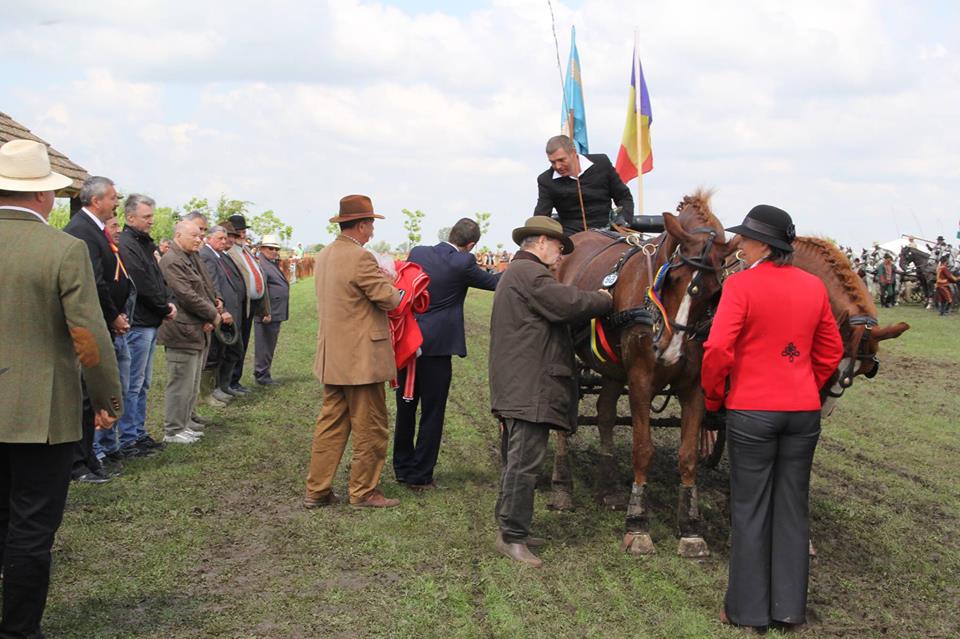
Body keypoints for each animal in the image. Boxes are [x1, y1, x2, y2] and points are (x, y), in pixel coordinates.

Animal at [548, 189, 736, 556]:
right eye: (673, 277)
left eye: (713, 290)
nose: (668, 350)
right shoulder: (640, 379)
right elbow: (642, 448)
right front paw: (638, 523)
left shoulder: (694, 387)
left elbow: (688, 456)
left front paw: (691, 528)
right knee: (562, 418)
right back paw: (562, 486)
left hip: (611, 369)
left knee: (605, 414)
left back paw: (609, 488)